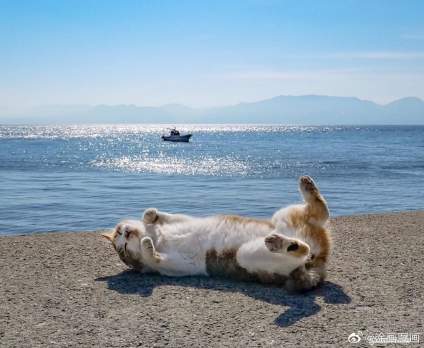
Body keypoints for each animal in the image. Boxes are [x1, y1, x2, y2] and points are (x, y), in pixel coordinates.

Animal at [102, 175, 332, 292]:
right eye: (123, 247)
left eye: (120, 231)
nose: (125, 233)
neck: (158, 237)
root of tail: (319, 264)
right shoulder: (172, 267)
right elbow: (153, 258)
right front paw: (146, 246)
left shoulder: (184, 220)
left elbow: (164, 216)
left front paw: (150, 215)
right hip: (246, 255)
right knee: (303, 249)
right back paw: (284, 244)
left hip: (283, 216)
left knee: (319, 213)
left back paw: (307, 186)